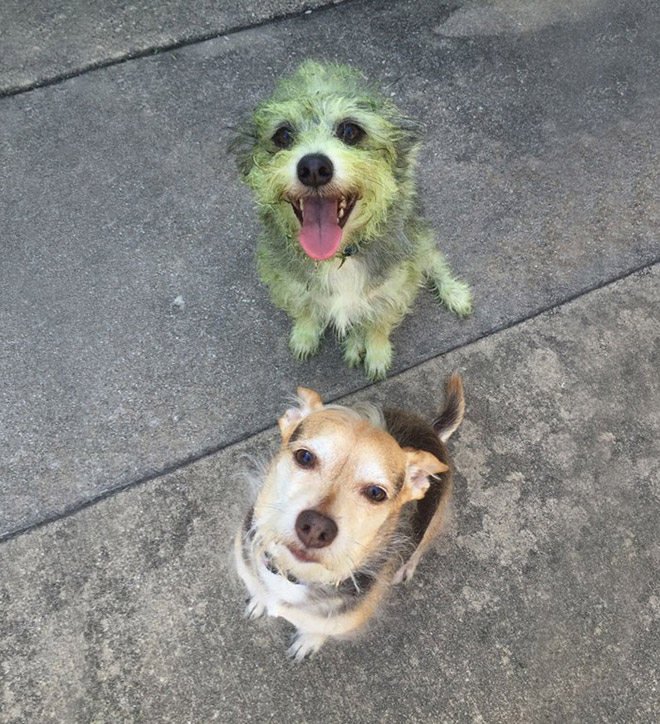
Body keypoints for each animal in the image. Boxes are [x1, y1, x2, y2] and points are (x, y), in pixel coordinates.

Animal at [231, 60, 470, 378]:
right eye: (283, 135)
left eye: (350, 130)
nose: (314, 167)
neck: (339, 256)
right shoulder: (288, 281)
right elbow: (305, 310)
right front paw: (305, 336)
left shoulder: (395, 287)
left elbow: (379, 323)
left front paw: (377, 354)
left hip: (421, 241)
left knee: (435, 263)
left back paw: (454, 293)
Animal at [233, 376, 464, 660]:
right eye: (304, 457)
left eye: (376, 493)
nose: (315, 528)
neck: (294, 575)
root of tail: (431, 432)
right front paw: (259, 599)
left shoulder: (337, 621)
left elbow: (320, 629)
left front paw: (309, 640)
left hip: (435, 520)